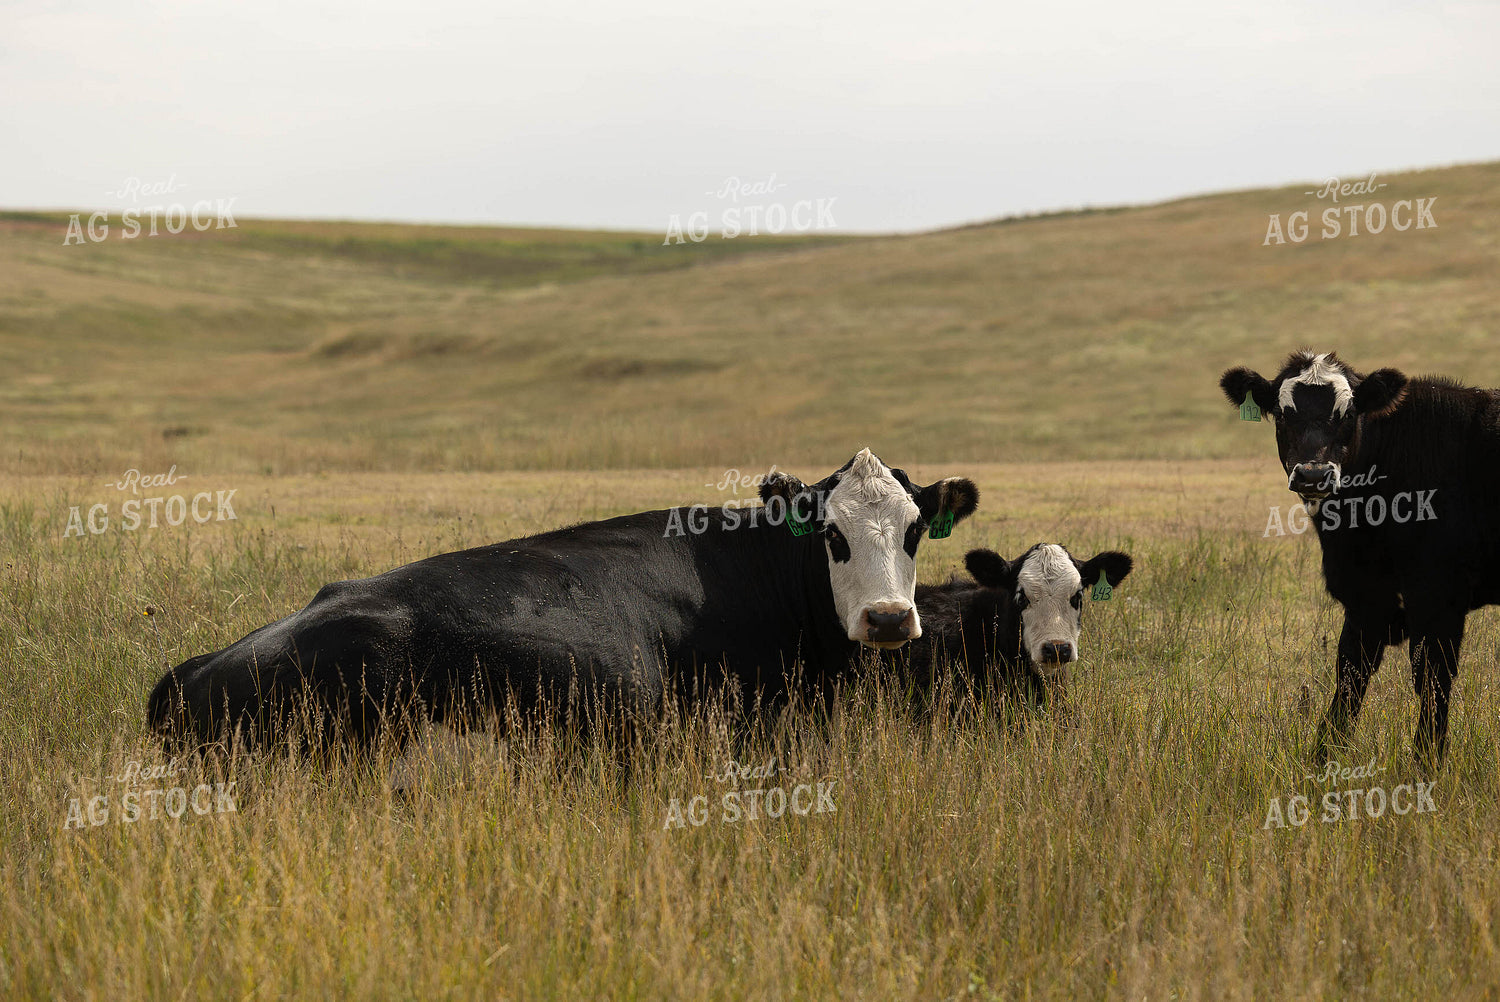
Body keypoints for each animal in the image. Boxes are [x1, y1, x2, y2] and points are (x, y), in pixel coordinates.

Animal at [1221, 349, 1499, 765]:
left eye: (1349, 413)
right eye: (1283, 414)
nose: (1313, 474)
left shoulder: (1437, 595)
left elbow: (1432, 681)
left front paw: (1427, 766)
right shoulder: (1366, 599)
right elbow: (1350, 678)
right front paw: (1323, 762)